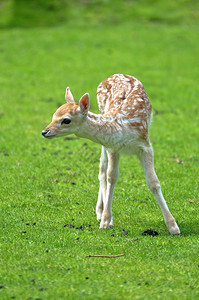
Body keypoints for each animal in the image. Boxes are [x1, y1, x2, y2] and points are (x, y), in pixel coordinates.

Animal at [42, 72, 180, 234]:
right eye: (53, 115)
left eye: (66, 120)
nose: (45, 132)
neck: (121, 128)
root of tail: (116, 74)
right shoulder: (113, 147)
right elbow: (111, 177)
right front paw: (105, 221)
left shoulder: (145, 145)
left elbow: (153, 182)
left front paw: (173, 227)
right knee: (102, 169)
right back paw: (100, 212)